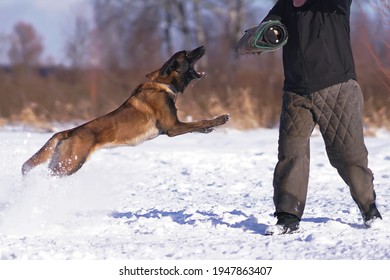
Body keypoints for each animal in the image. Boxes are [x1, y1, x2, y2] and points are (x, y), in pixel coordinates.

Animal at [22, 46, 229, 176]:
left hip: (61, 162)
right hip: (69, 164)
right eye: (187, 54)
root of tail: (69, 131)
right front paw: (220, 119)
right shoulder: (173, 127)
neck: (163, 83)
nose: (203, 46)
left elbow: (197, 125)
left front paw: (210, 128)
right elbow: (199, 121)